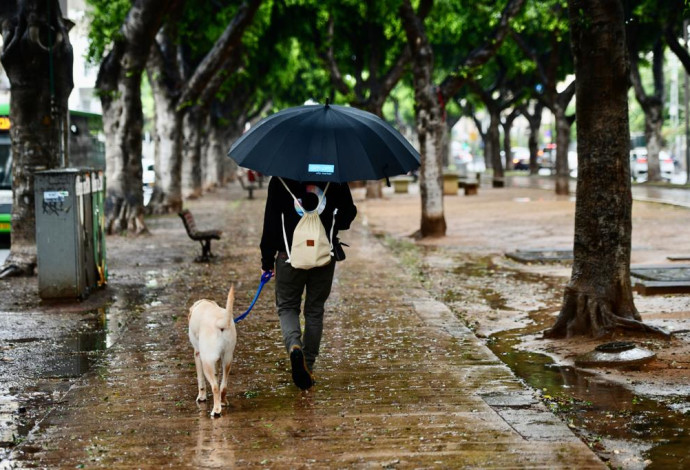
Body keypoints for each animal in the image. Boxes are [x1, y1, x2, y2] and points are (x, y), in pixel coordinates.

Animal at [188, 284, 236, 416]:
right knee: (223, 386)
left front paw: (201, 397)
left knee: (215, 387)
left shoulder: (197, 354)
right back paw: (223, 402)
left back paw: (216, 410)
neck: (204, 304)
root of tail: (221, 322)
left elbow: (201, 381)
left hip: (207, 362)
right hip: (227, 359)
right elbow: (217, 376)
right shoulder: (217, 360)